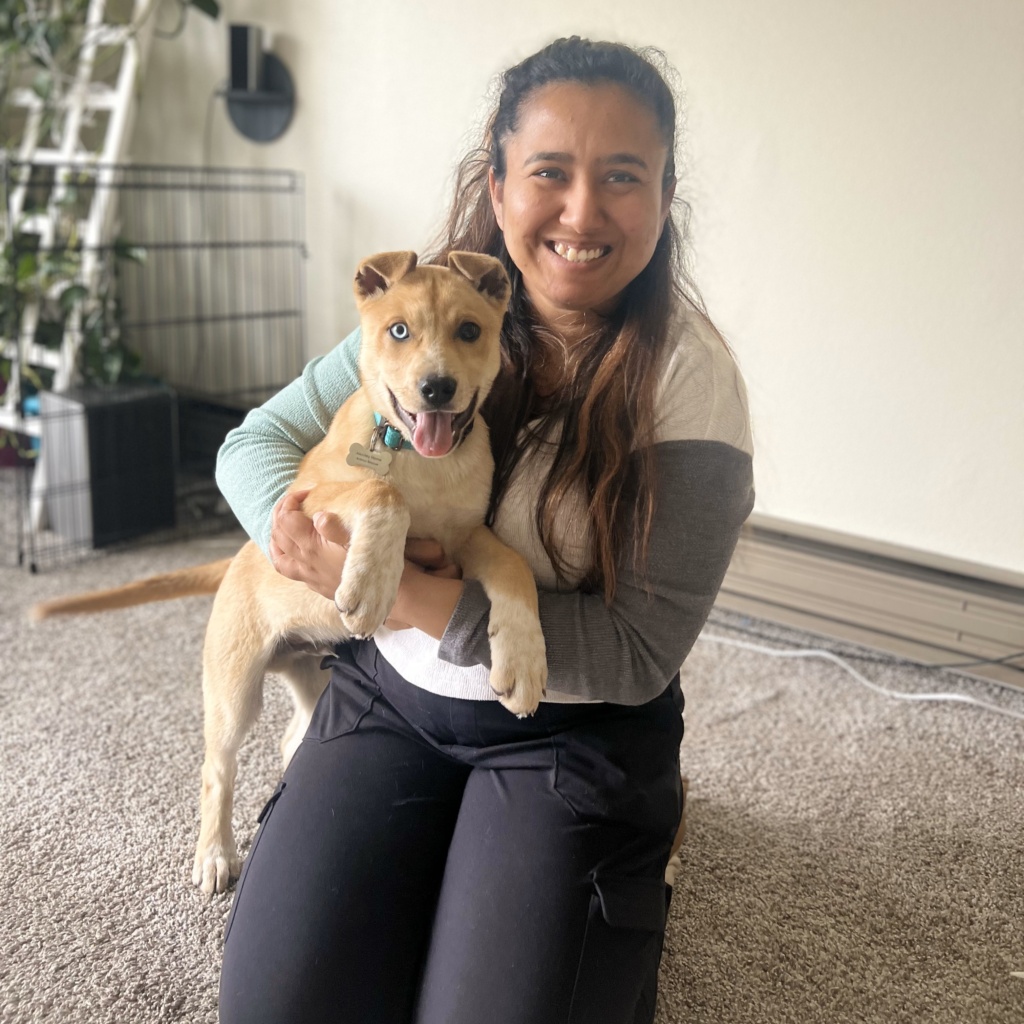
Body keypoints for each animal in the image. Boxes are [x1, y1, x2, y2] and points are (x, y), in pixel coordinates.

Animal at [29, 251, 544, 892]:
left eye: (470, 330)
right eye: (398, 330)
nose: (437, 388)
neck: (422, 460)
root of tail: (235, 560)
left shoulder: (467, 536)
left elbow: (514, 565)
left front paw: (524, 659)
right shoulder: (310, 498)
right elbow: (381, 491)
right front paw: (372, 583)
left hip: (310, 676)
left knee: (289, 736)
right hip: (233, 691)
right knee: (216, 768)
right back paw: (215, 854)